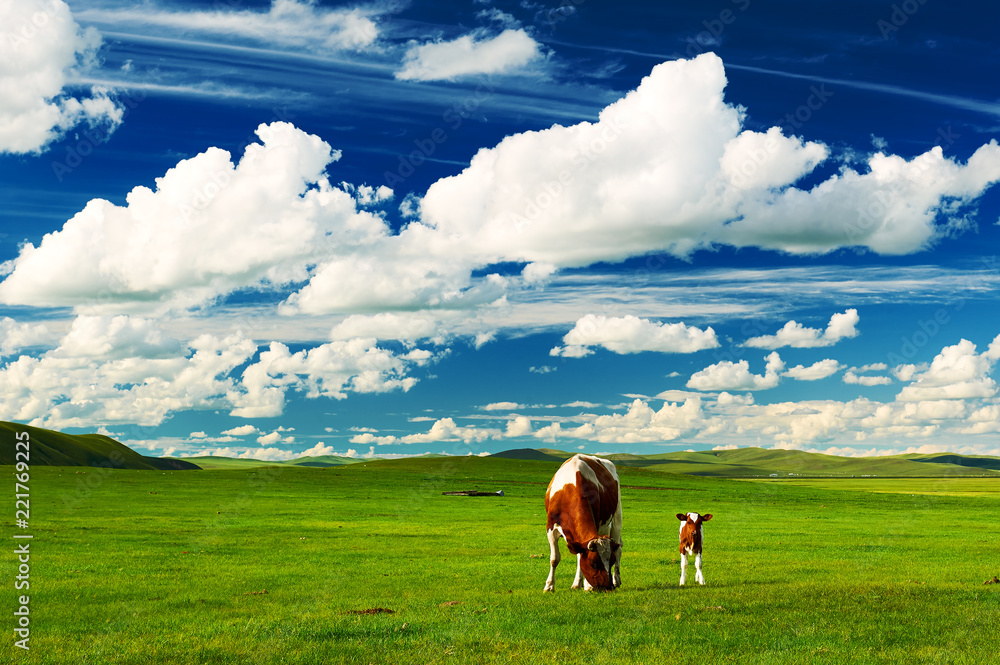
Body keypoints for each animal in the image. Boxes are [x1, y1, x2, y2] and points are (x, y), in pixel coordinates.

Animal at [544, 452, 620, 592]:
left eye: (611, 562)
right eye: (593, 564)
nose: (608, 588)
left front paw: (588, 585)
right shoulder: (551, 528)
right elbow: (554, 558)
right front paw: (549, 586)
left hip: (616, 517)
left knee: (619, 547)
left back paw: (616, 580)